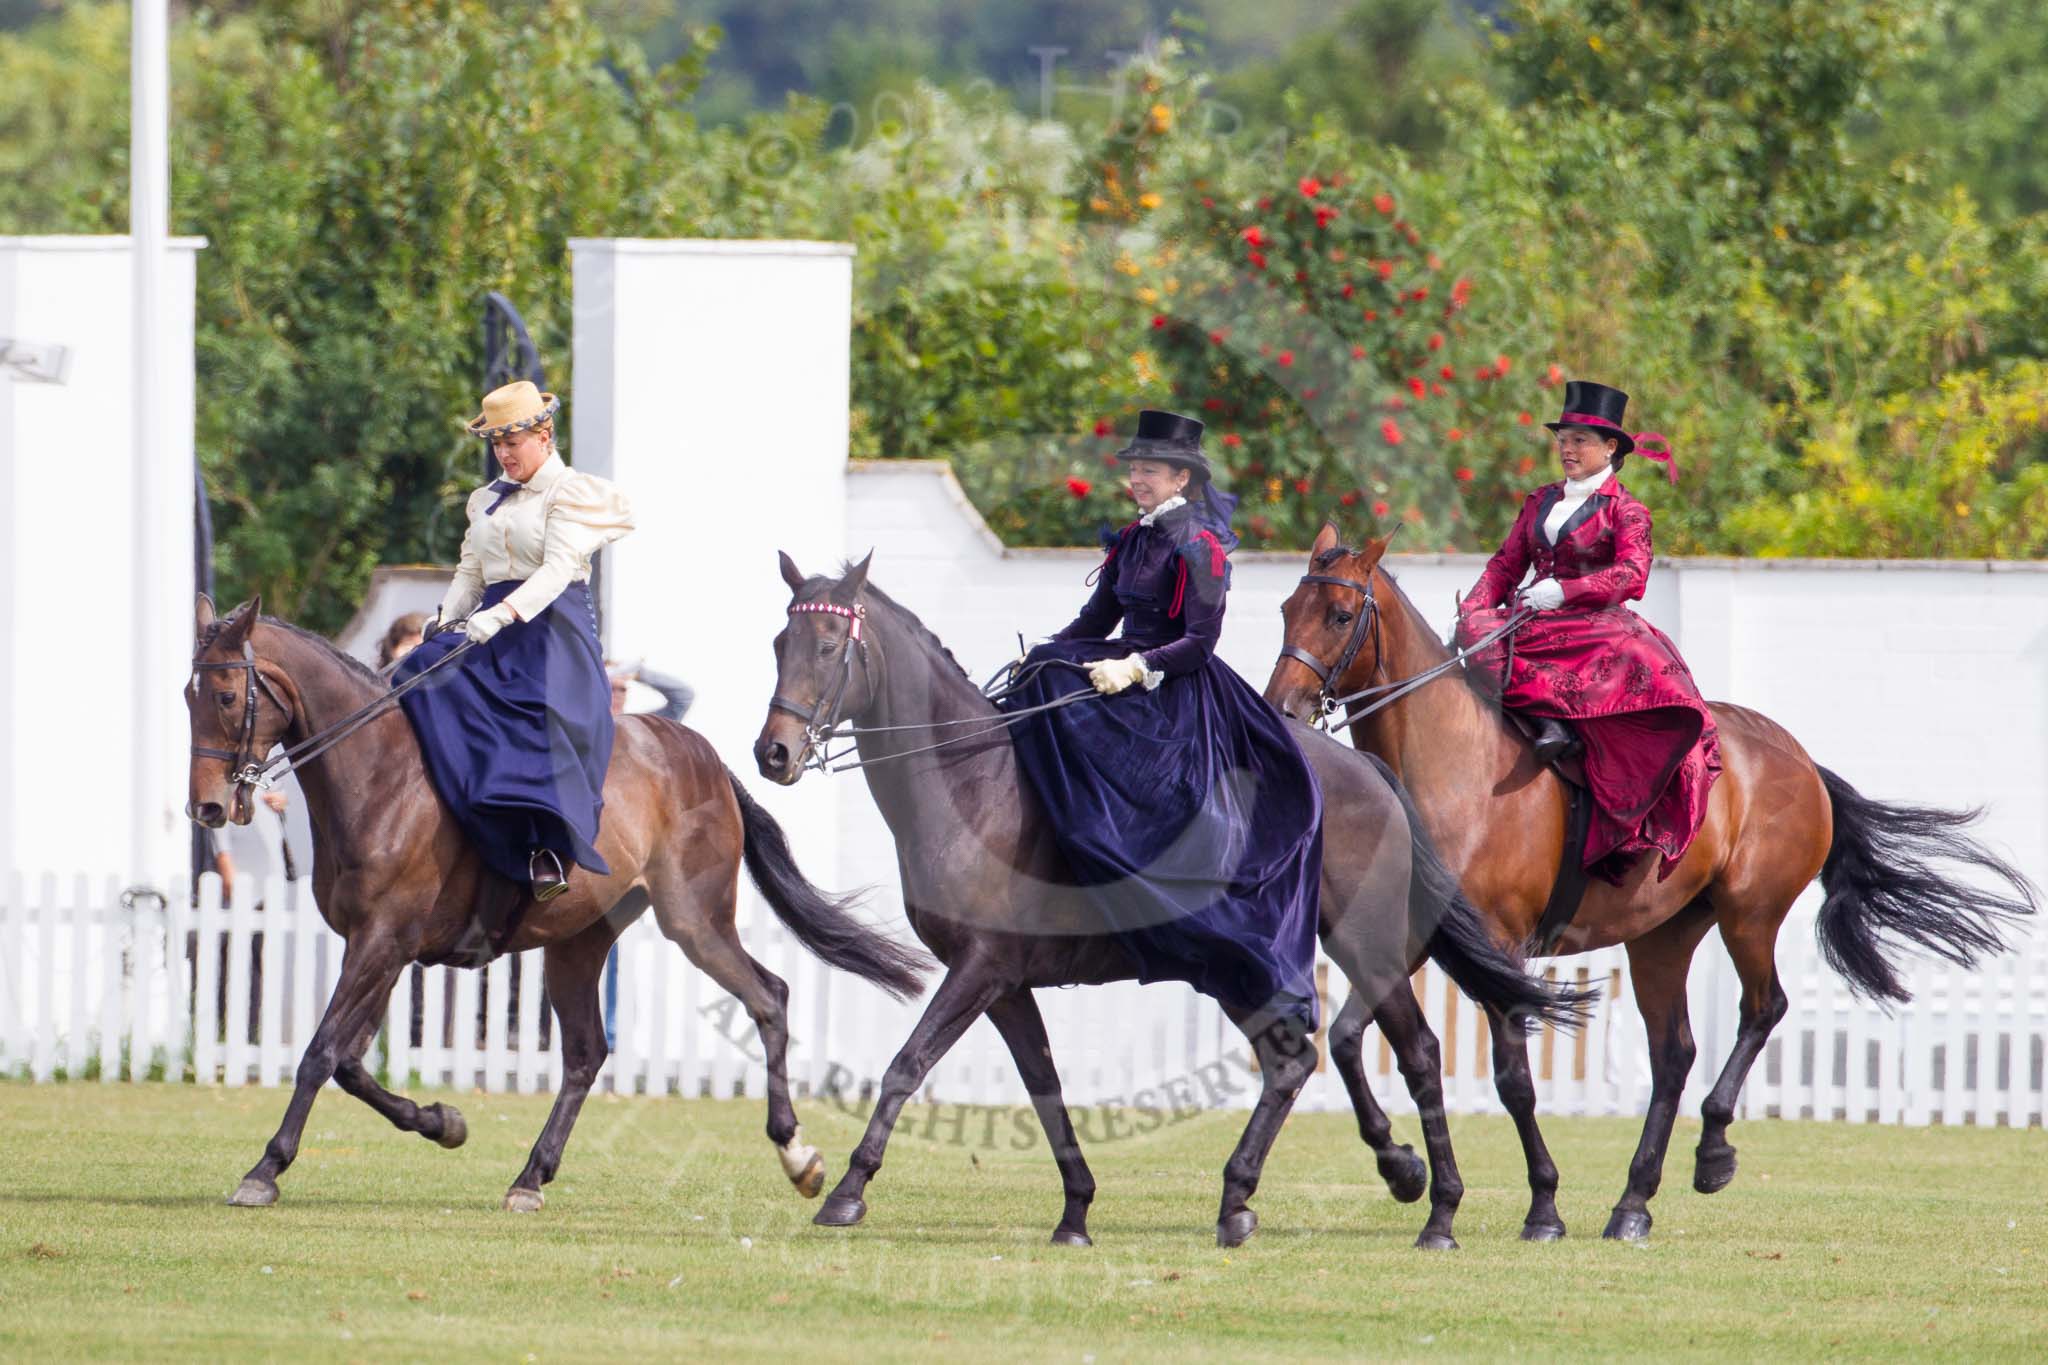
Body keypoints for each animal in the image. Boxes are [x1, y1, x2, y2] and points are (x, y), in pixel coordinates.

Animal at [188, 593, 925, 1211]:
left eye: (225, 694)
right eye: (187, 693)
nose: (209, 809)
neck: (379, 772)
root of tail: (706, 758)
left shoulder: (380, 943)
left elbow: (320, 1053)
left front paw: (265, 1169)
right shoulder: (382, 950)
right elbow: (347, 1060)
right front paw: (443, 1122)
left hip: (694, 922)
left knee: (767, 996)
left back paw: (798, 1155)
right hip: (579, 940)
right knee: (585, 1053)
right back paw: (530, 1176)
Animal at [745, 552, 1589, 1252]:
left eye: (830, 646)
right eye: (780, 644)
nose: (773, 753)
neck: (968, 782)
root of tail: (1374, 776)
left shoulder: (978, 969)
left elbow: (905, 1065)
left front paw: (844, 1189)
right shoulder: (1006, 982)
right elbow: (1045, 1087)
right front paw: (1076, 1210)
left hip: (1364, 945)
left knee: (1407, 1052)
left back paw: (1437, 1209)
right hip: (1248, 965)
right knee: (1297, 1059)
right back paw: (1271, 1196)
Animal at [1261, 527, 2031, 1244]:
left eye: (1338, 615)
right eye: (1286, 608)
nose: (1285, 711)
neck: (1456, 765)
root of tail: (1797, 757)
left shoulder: (1502, 950)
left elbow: (1513, 1081)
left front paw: (1542, 1207)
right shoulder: (1416, 938)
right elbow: (1350, 1040)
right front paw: (1404, 1169)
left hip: (1748, 916)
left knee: (1763, 1009)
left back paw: (1712, 1152)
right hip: (1661, 939)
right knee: (1674, 1054)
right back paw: (1633, 1202)